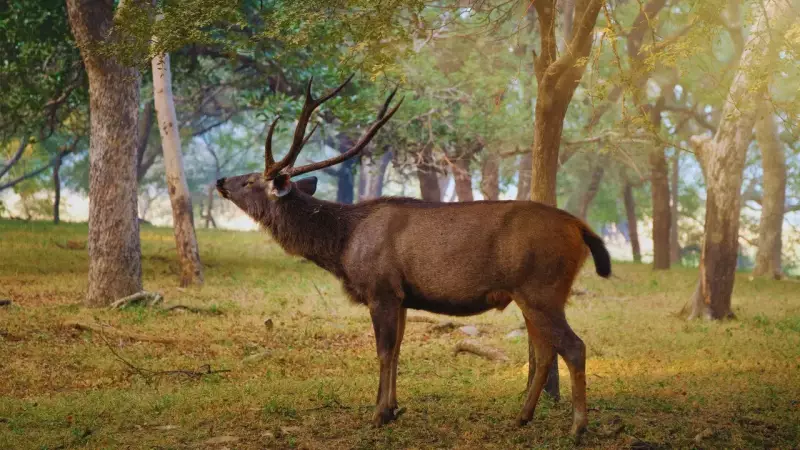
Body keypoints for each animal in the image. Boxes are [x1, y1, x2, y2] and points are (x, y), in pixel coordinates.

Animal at [215, 75, 611, 439]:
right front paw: (392, 408)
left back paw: (577, 427)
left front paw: (378, 414)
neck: (343, 246)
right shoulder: (403, 296)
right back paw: (522, 416)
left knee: (574, 347)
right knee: (544, 353)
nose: (220, 181)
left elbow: (383, 351)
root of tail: (581, 227)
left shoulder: (381, 289)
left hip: (542, 288)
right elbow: (398, 350)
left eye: (250, 181)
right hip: (529, 296)